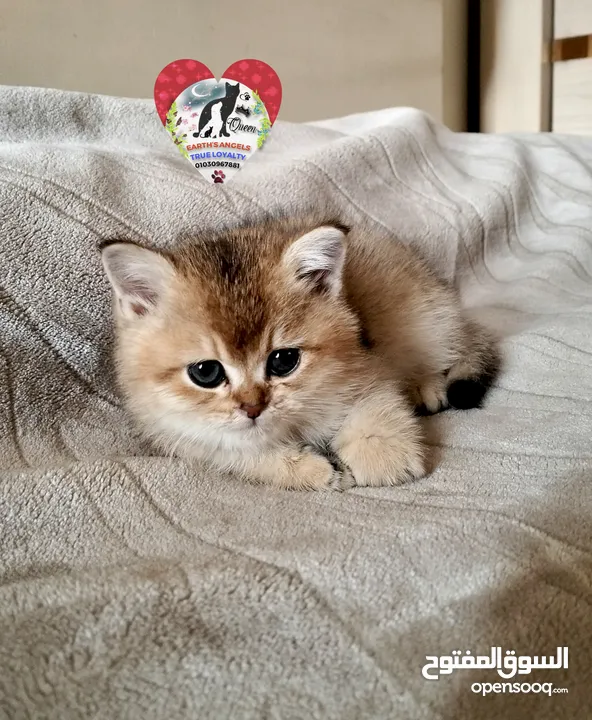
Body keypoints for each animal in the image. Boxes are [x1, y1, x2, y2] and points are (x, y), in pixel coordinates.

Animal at [102, 218, 500, 490]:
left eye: (283, 361)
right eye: (206, 372)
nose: (253, 408)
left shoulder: (368, 367)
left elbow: (375, 409)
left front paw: (384, 460)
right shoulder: (192, 439)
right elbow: (247, 456)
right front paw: (316, 470)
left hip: (429, 320)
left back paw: (426, 385)